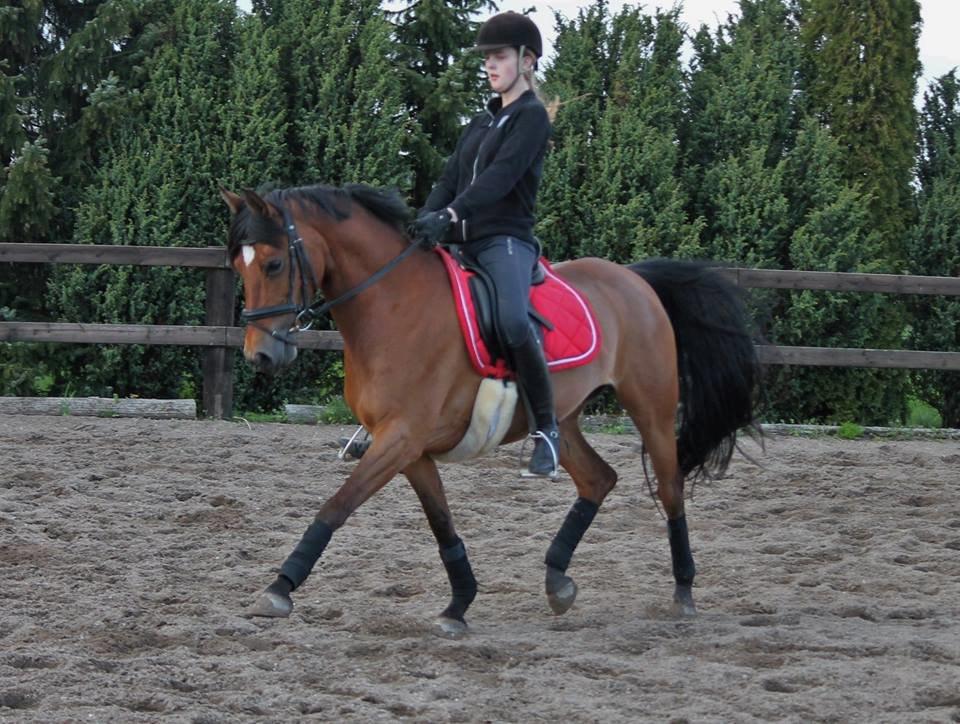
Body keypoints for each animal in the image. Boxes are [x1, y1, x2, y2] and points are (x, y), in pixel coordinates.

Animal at [220, 182, 759, 636]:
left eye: (272, 265)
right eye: (238, 269)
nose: (260, 356)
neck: (391, 306)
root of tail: (633, 277)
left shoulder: (401, 438)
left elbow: (336, 506)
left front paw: (279, 589)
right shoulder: (411, 450)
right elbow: (442, 524)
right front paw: (459, 604)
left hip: (652, 408)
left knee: (670, 489)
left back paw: (683, 592)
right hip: (561, 418)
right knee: (598, 479)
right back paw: (557, 580)